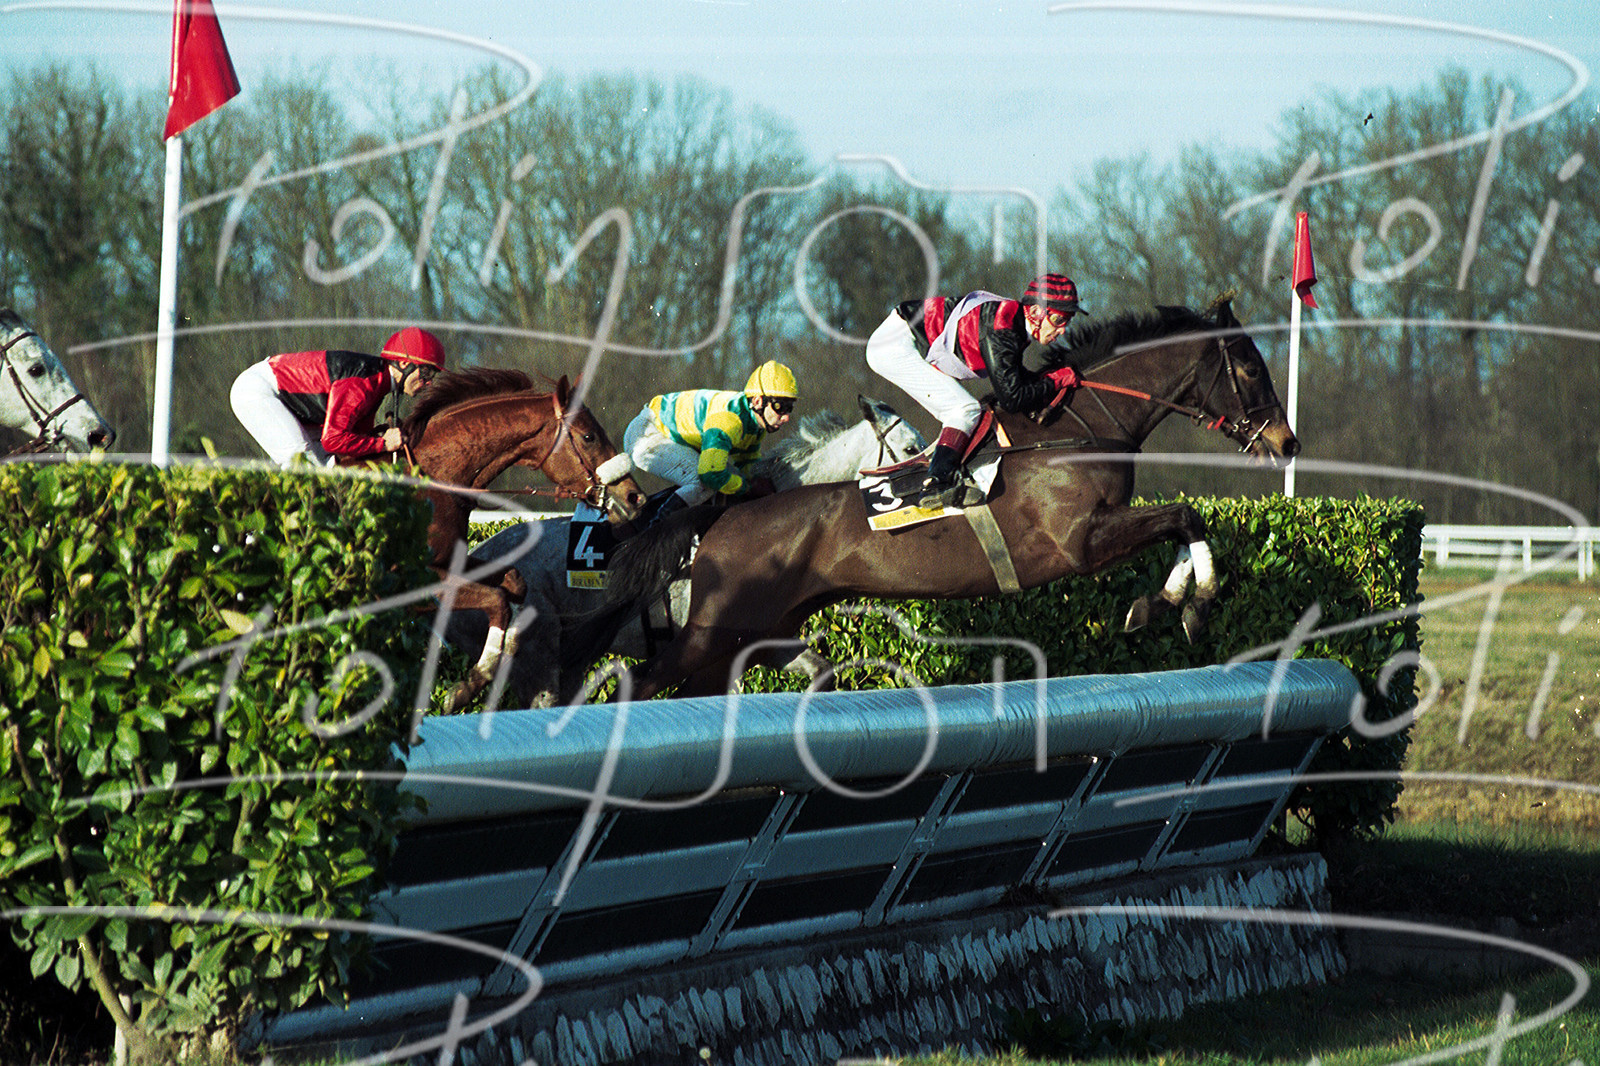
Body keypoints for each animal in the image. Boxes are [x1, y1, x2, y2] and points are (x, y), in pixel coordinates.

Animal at [383, 368, 647, 709]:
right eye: (589, 436)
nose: (635, 498)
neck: (430, 480)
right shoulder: (413, 579)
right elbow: (497, 600)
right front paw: (466, 686)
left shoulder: (451, 565)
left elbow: (514, 583)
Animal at [575, 299, 1300, 701]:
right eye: (1249, 367)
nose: (1286, 441)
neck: (1075, 428)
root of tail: (722, 516)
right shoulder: (1077, 541)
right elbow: (1183, 515)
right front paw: (1188, 601)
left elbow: (1181, 523)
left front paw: (1171, 602)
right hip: (713, 628)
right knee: (639, 683)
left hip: (755, 632)